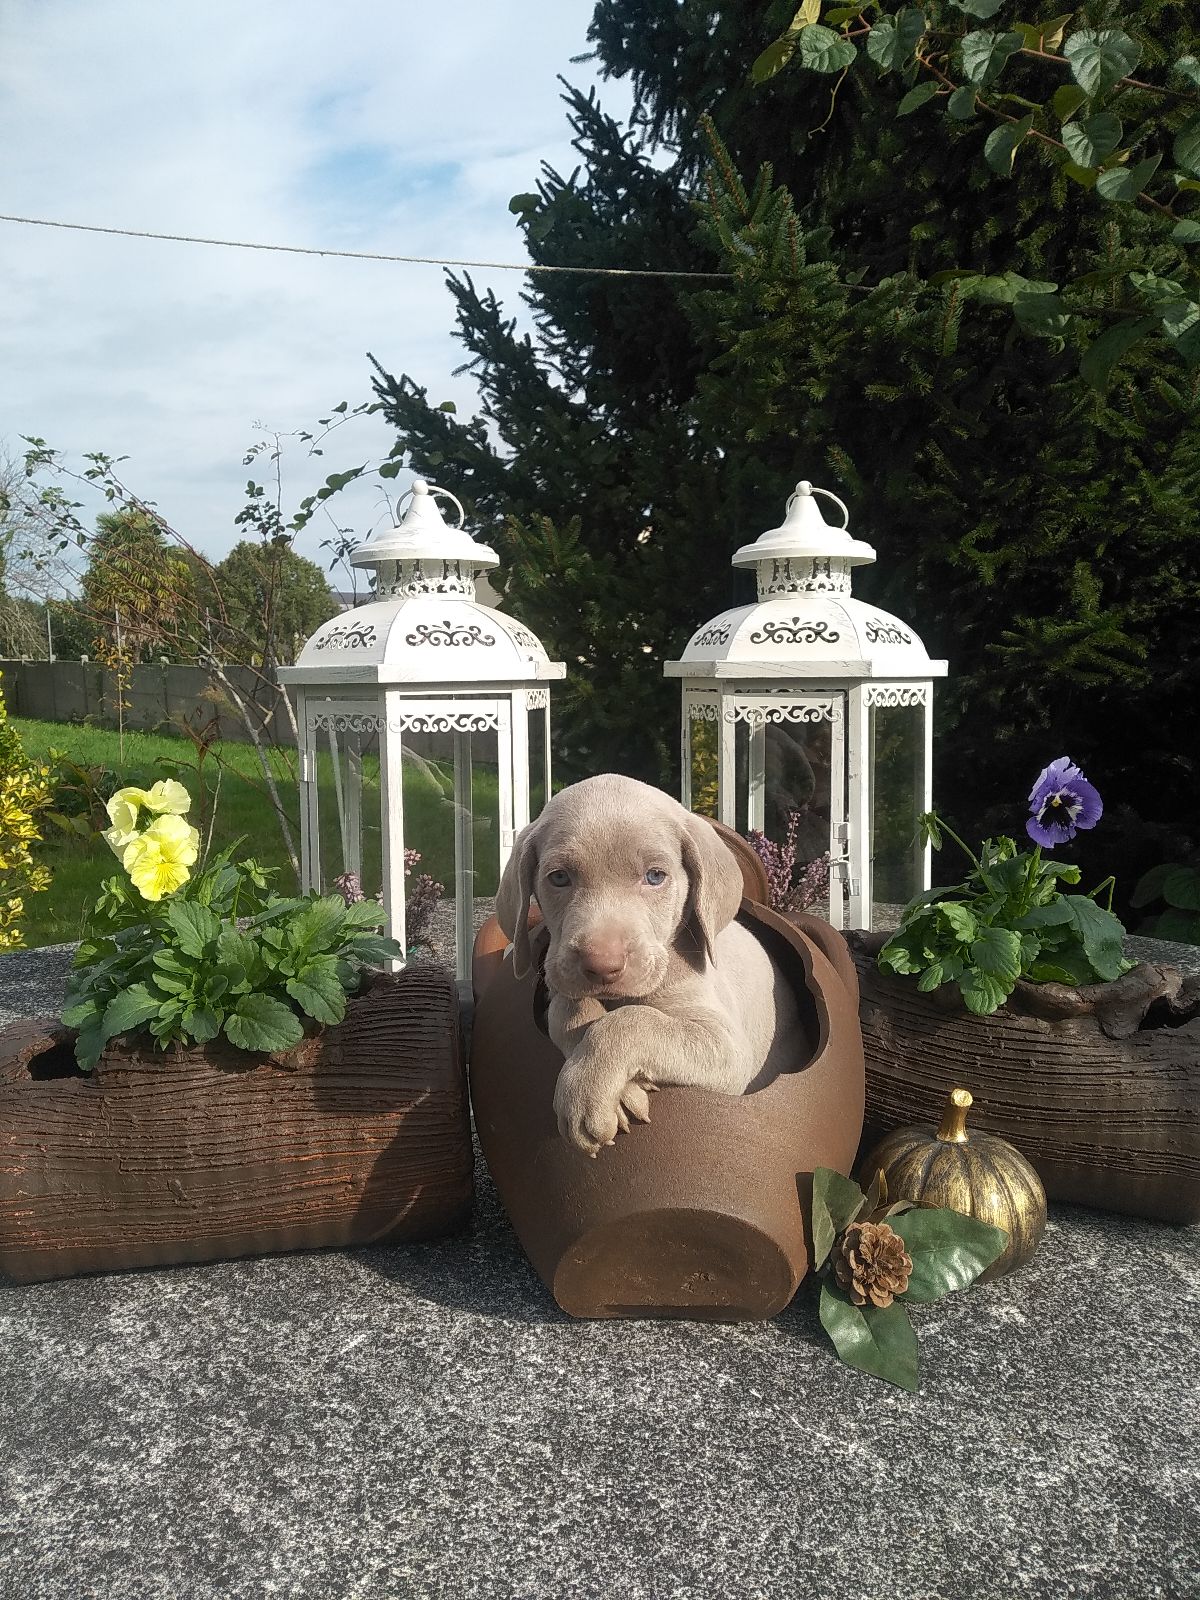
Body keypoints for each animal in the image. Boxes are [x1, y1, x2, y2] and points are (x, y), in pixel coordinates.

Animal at [494, 774, 801, 1156]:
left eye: (655, 876)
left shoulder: (727, 1046)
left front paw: (586, 1094)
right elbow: (570, 1010)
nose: (603, 965)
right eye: (559, 877)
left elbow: (635, 1020)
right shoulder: (561, 982)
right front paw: (616, 1090)